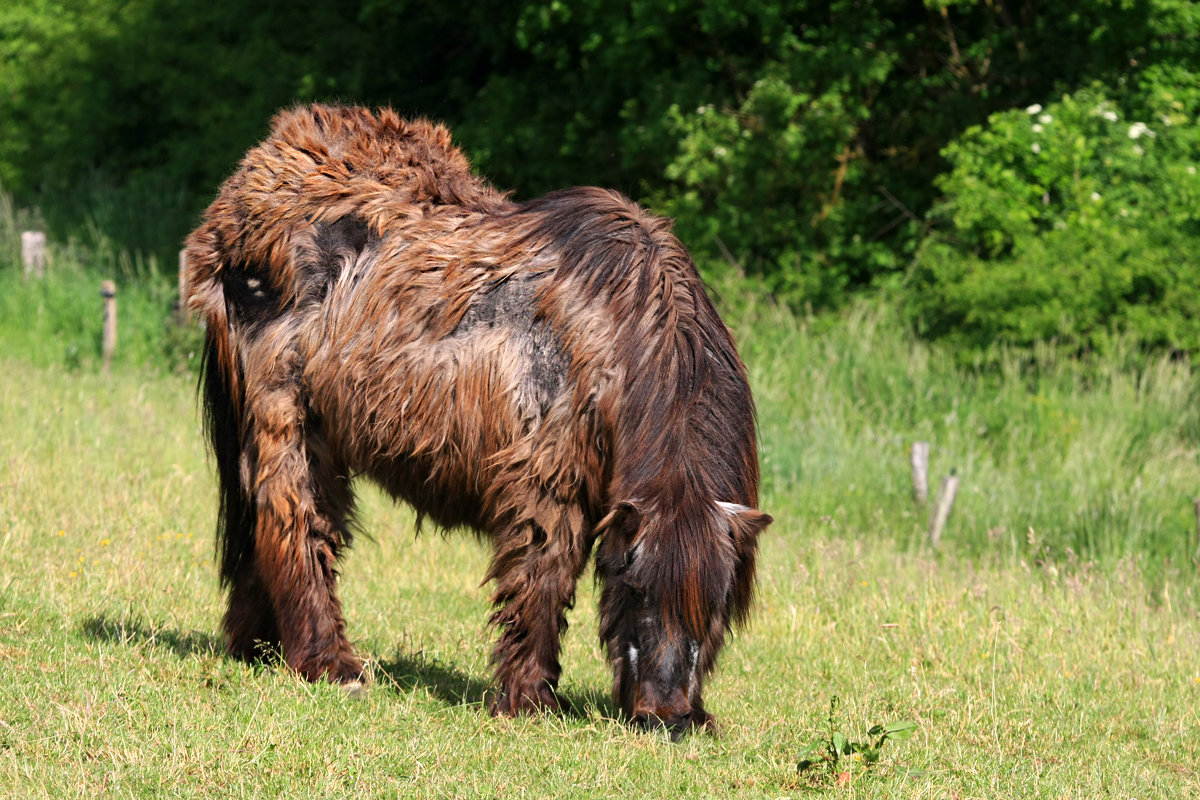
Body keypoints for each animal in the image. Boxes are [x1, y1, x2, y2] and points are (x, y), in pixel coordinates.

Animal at [182, 106, 772, 738]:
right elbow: (541, 580)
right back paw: (329, 663)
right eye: (634, 590)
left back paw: (257, 647)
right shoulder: (547, 484)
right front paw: (530, 699)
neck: (618, 331)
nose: (668, 717)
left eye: (715, 605)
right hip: (287, 419)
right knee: (293, 524)